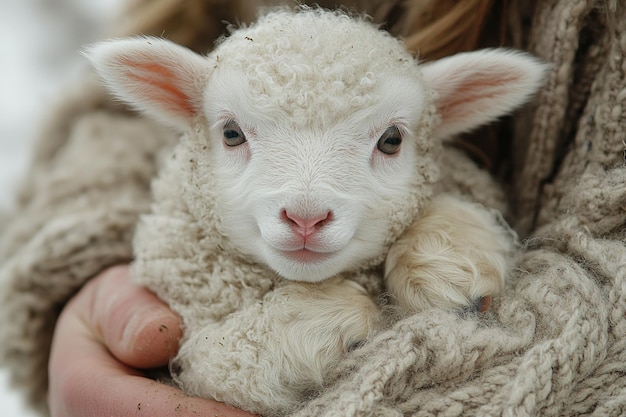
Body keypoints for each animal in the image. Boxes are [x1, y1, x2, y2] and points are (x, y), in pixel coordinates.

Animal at [85, 6, 544, 416]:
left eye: (392, 140)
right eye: (231, 133)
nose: (306, 218)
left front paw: (452, 265)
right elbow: (222, 359)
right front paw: (330, 316)